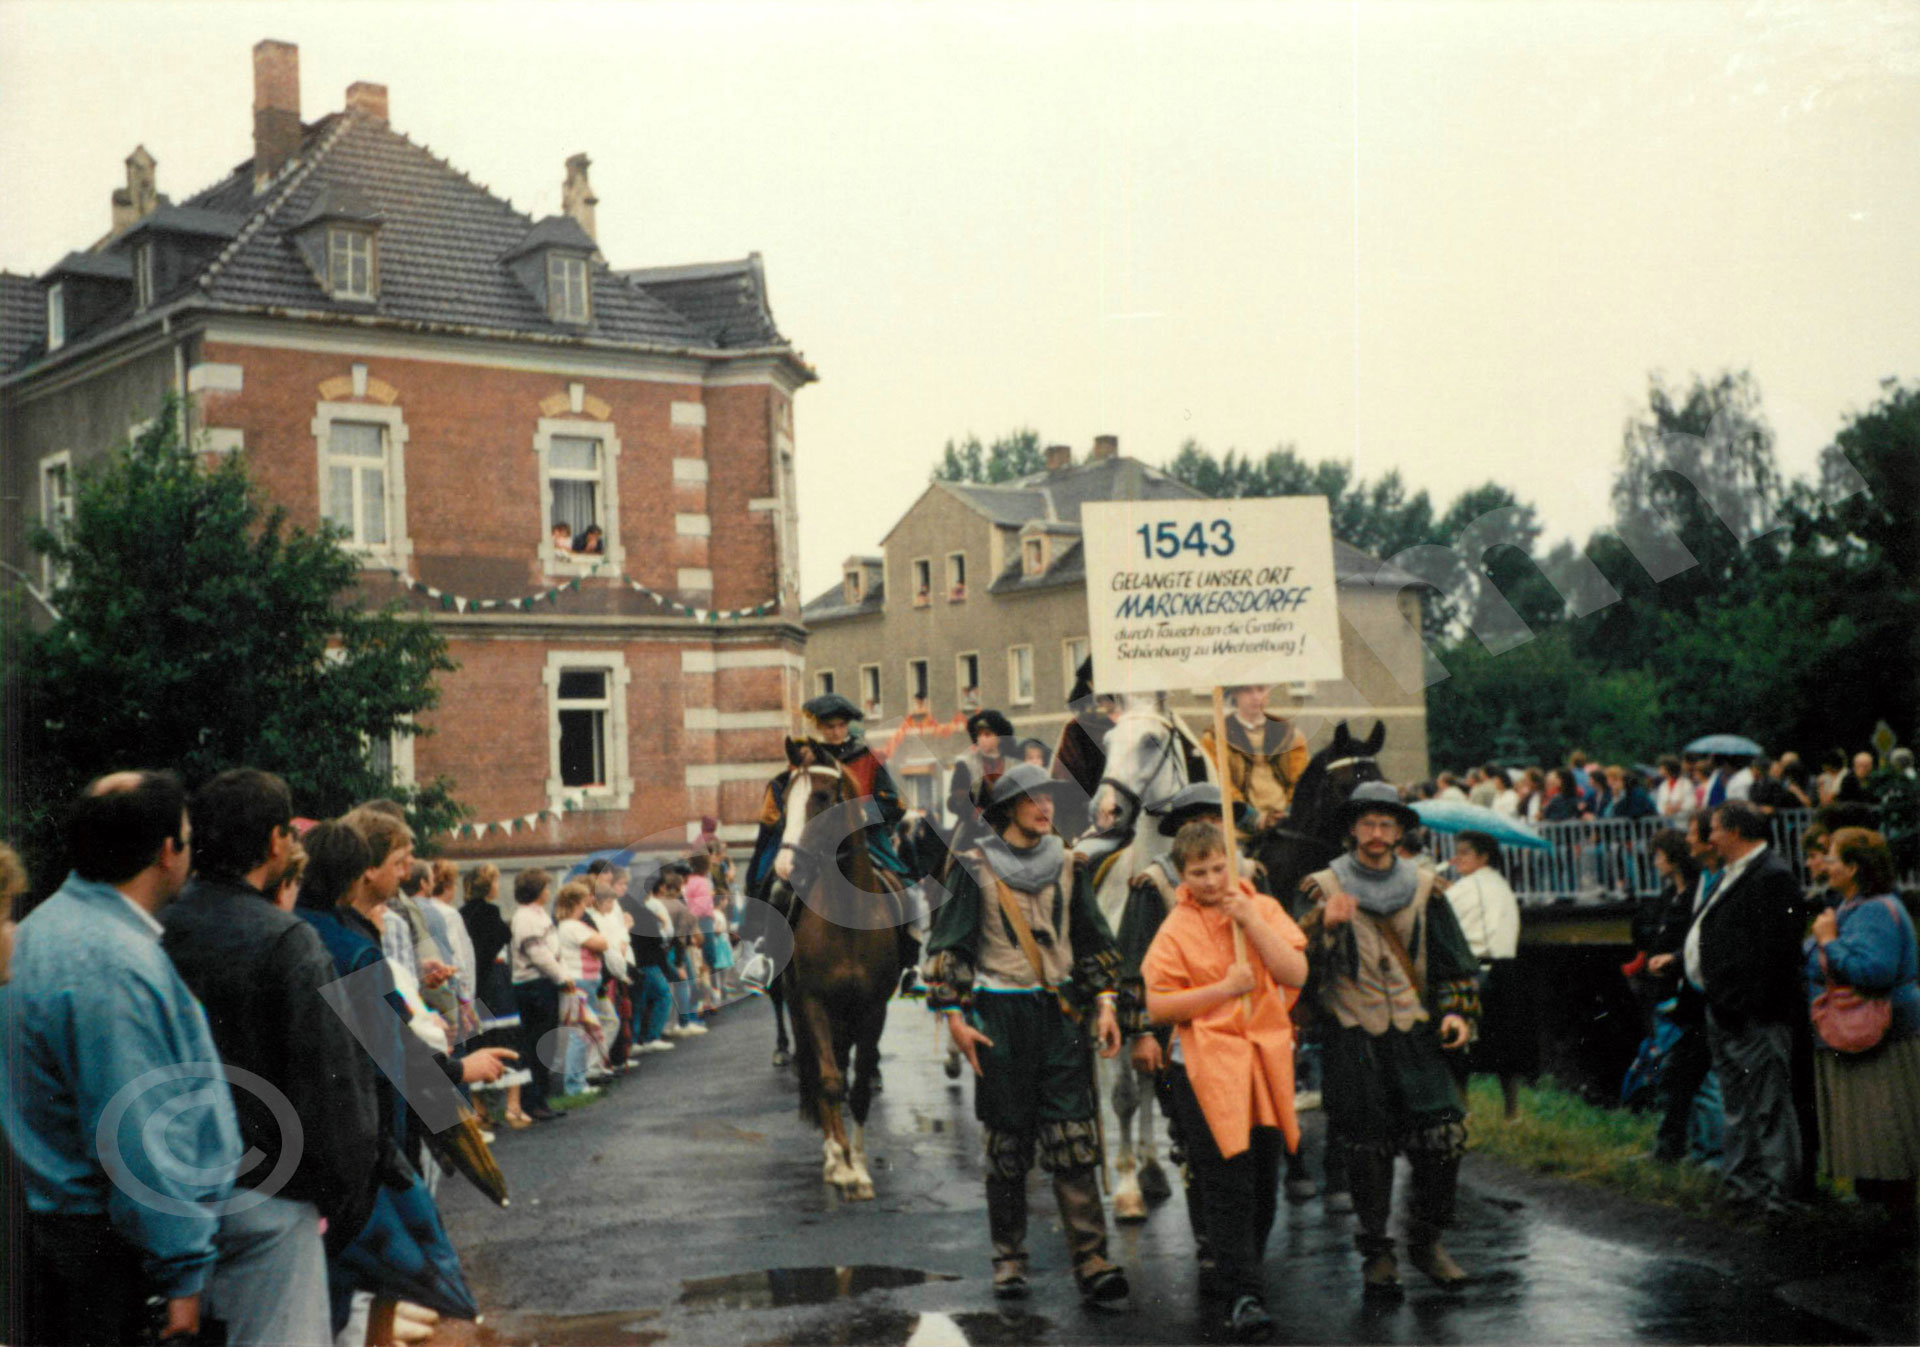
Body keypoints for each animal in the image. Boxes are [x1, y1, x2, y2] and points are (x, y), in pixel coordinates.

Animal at [768, 744, 902, 1205]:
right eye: (785, 799)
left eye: (824, 797)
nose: (784, 867)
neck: (847, 922)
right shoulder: (813, 1003)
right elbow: (827, 1081)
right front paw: (841, 1165)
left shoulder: (873, 1008)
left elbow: (857, 1084)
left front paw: (858, 1164)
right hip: (802, 1008)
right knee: (819, 1071)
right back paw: (830, 1156)